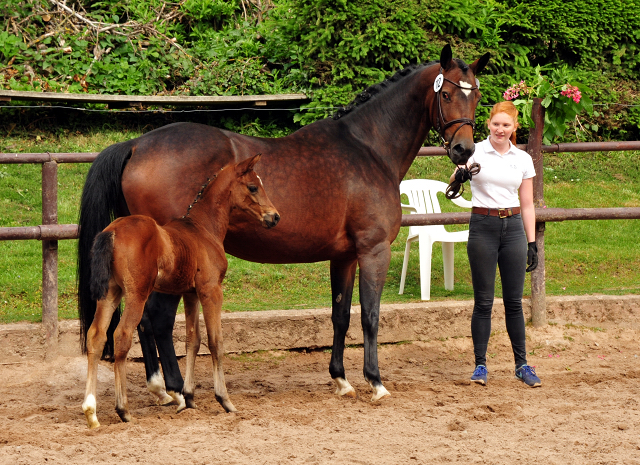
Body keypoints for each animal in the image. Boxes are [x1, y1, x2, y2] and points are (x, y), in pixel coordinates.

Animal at [82, 156, 278, 428]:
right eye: (252, 187)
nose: (274, 216)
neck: (202, 228)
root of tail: (112, 231)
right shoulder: (211, 290)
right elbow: (215, 341)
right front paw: (225, 400)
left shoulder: (191, 293)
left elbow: (192, 340)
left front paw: (189, 398)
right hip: (136, 294)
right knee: (121, 336)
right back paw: (123, 409)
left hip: (111, 292)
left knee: (96, 336)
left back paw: (91, 412)